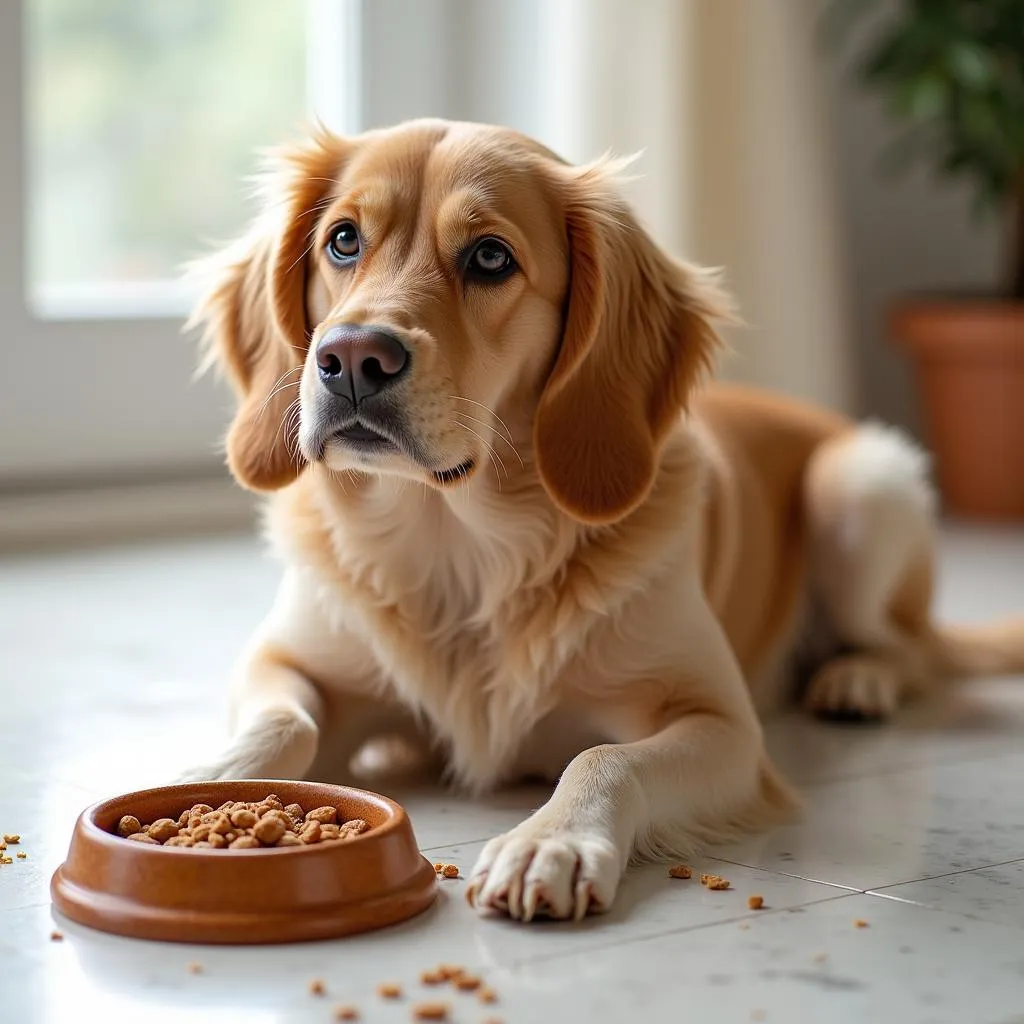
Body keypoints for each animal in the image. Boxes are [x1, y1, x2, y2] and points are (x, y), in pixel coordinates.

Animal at [184, 117, 1024, 921]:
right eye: (343, 240)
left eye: (490, 258)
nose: (353, 358)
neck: (458, 546)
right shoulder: (288, 659)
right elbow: (285, 723)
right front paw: (214, 775)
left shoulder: (723, 725)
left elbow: (604, 759)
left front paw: (550, 841)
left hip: (860, 485)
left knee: (914, 649)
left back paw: (856, 679)